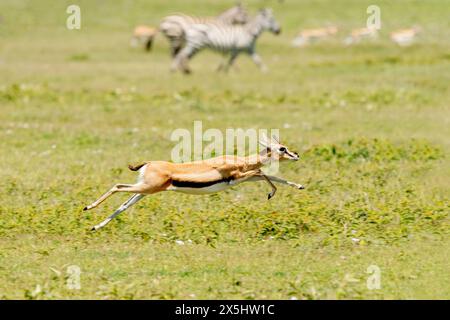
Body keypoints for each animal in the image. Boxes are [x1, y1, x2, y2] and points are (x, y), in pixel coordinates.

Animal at [83, 134, 304, 231]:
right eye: (282, 148)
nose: (296, 155)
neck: (240, 161)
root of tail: (149, 163)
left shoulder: (244, 178)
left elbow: (272, 176)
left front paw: (299, 186)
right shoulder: (239, 178)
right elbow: (262, 172)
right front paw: (270, 194)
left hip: (144, 192)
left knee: (122, 206)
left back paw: (95, 226)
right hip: (146, 188)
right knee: (118, 186)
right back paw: (87, 207)